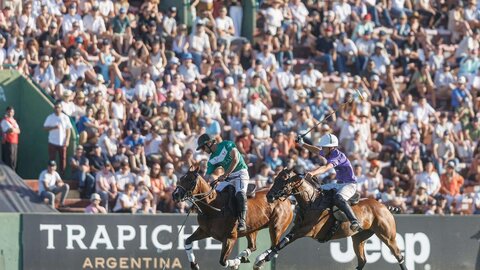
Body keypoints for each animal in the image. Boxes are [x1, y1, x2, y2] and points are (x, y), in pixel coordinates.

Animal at [253, 168, 406, 268]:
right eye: (275, 178)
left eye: (284, 180)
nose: (269, 196)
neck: (311, 202)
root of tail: (383, 206)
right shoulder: (296, 227)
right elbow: (278, 243)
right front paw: (260, 258)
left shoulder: (306, 230)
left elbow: (283, 242)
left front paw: (262, 259)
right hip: (359, 238)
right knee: (362, 261)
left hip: (387, 235)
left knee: (399, 255)